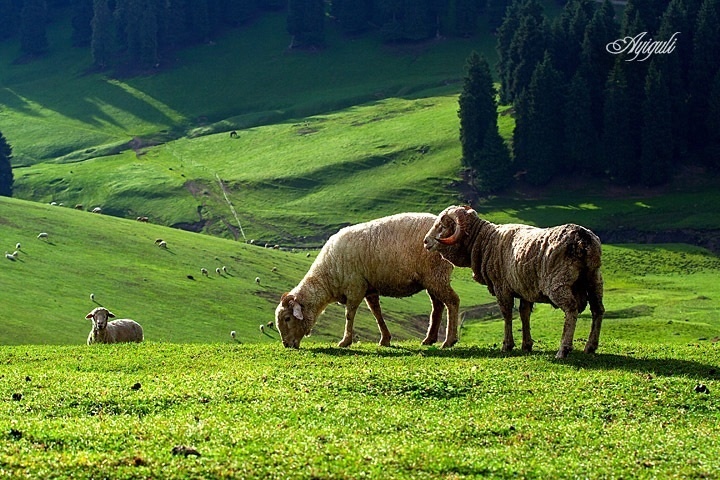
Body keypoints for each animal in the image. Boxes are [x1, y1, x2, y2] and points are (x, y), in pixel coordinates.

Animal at [276, 214, 462, 348]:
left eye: (287, 318)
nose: (286, 345)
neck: (327, 277)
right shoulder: (369, 289)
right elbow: (377, 314)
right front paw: (385, 339)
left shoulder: (355, 287)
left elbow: (349, 315)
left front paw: (345, 341)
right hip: (431, 278)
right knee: (437, 306)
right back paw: (429, 339)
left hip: (437, 274)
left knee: (452, 301)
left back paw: (449, 340)